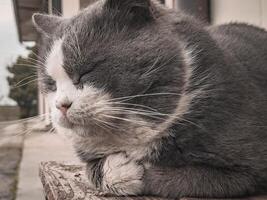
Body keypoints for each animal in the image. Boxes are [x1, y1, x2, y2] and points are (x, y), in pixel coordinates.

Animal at [32, 0, 267, 198]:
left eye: (86, 71)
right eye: (51, 84)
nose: (60, 105)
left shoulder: (246, 169)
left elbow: (174, 178)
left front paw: (130, 173)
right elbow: (89, 170)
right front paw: (117, 171)